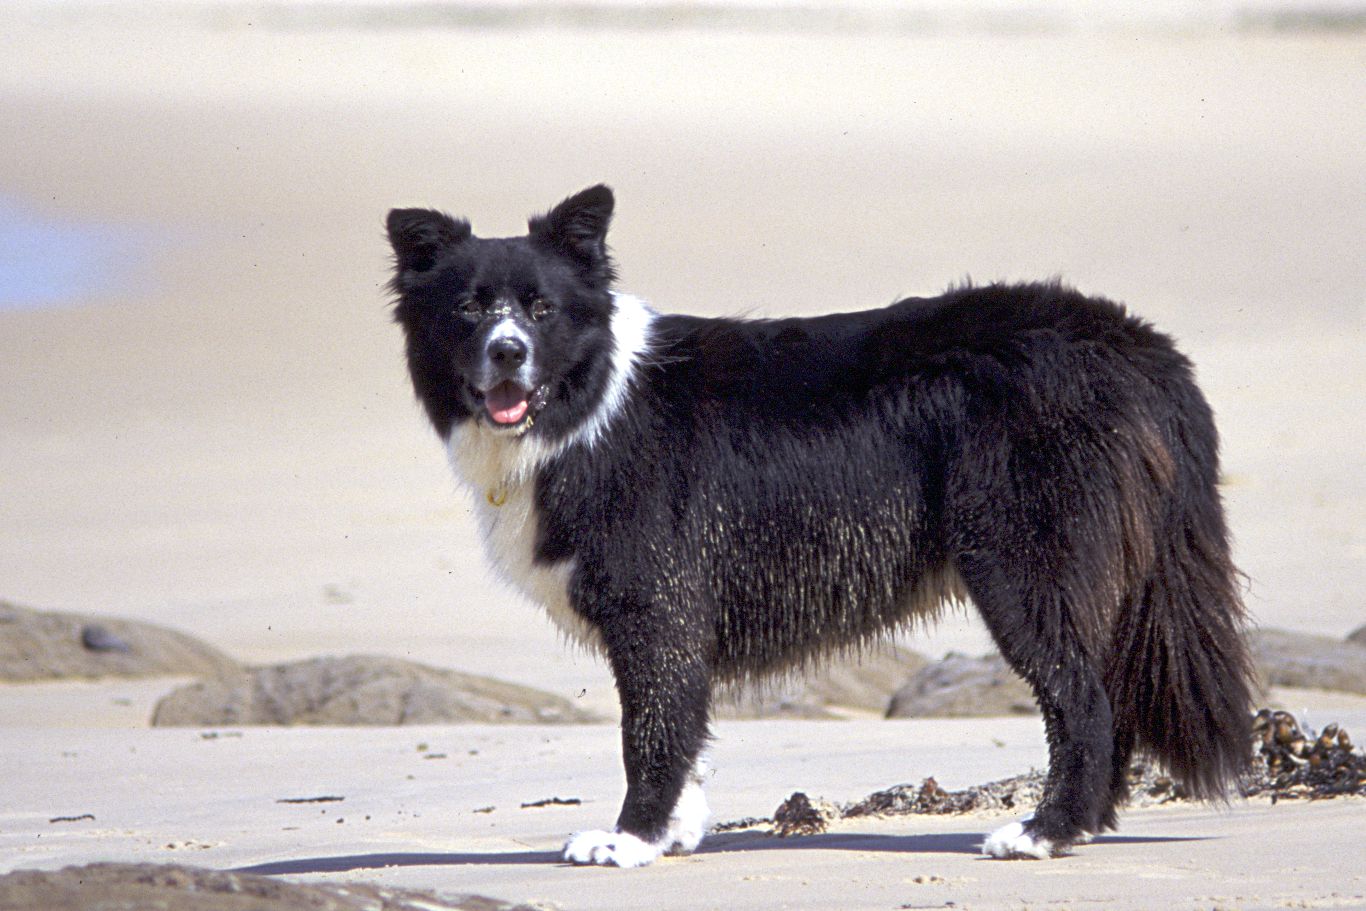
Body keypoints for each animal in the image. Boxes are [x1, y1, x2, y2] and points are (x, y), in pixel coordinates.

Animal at [382, 185, 1251, 868]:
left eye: (541, 310)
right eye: (469, 308)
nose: (506, 353)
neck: (592, 401)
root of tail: (1140, 344)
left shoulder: (653, 602)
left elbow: (651, 730)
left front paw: (630, 840)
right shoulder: (673, 616)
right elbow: (684, 727)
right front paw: (674, 835)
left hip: (1022, 568)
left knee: (1083, 700)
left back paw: (1043, 832)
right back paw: (1082, 828)